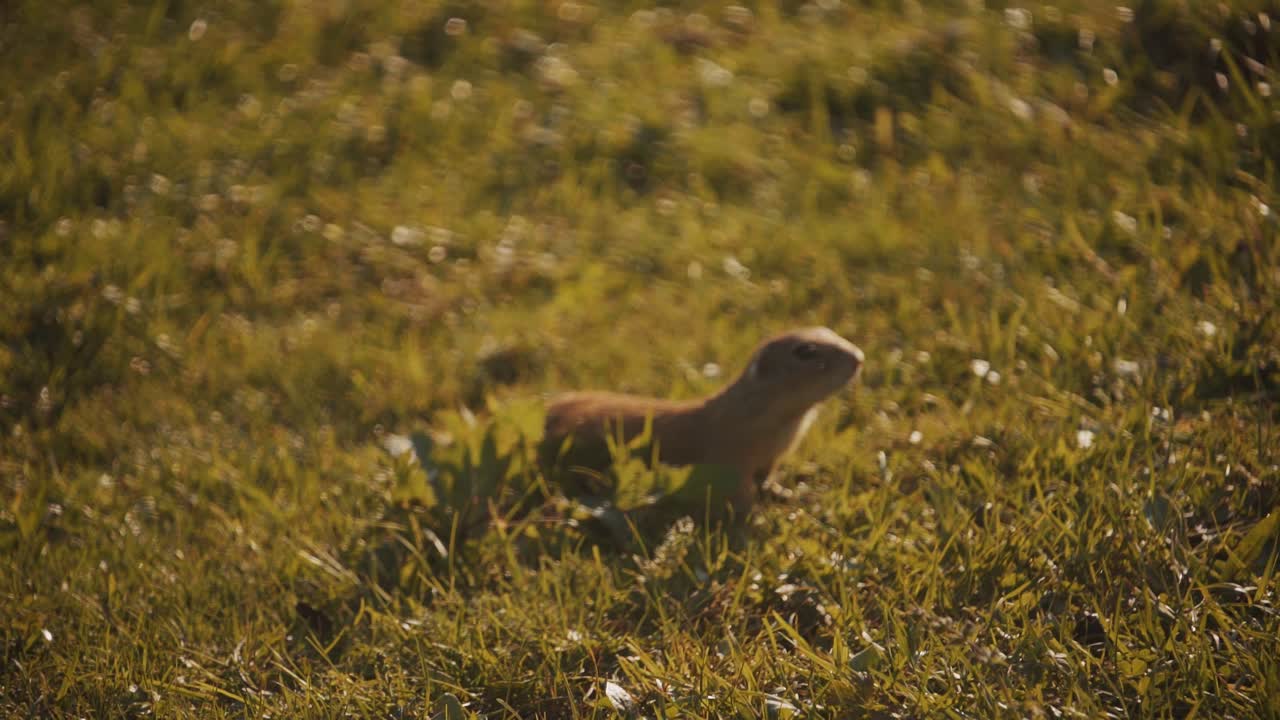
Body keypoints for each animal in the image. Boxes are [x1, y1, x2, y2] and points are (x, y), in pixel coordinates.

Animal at [540, 327, 864, 515]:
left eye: (829, 330)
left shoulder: (770, 458)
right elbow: (739, 493)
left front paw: (784, 494)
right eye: (805, 350)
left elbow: (767, 478)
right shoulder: (730, 458)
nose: (859, 356)